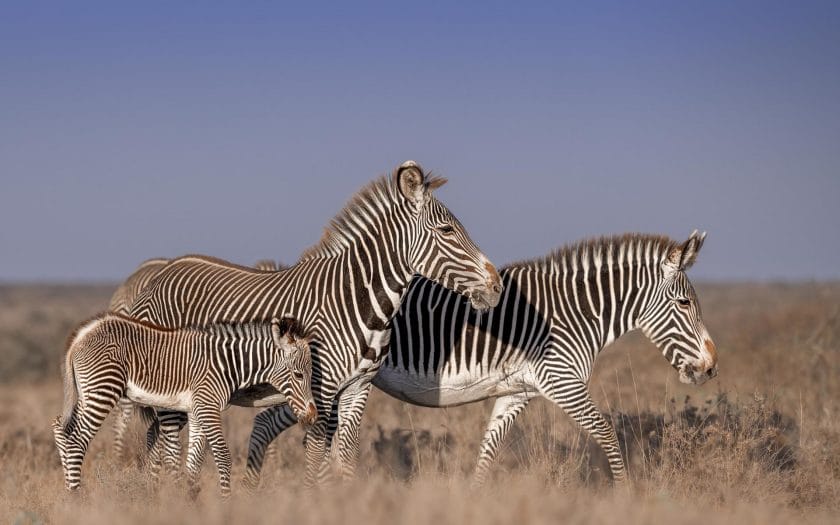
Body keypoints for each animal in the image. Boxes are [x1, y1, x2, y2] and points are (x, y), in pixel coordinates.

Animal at [51, 314, 316, 498]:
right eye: (299, 375)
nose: (312, 416)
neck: (229, 363)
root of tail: (83, 333)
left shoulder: (197, 410)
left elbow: (193, 461)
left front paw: (189, 502)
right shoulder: (208, 406)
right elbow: (222, 455)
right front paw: (226, 502)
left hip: (86, 392)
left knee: (60, 427)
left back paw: (67, 488)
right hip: (102, 390)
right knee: (76, 440)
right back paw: (76, 497)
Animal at [124, 162, 502, 486]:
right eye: (447, 231)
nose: (497, 286)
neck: (359, 303)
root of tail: (157, 280)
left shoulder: (358, 387)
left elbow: (345, 457)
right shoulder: (319, 385)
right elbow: (316, 455)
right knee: (167, 447)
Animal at [241, 231, 716, 486]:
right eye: (685, 303)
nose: (711, 369)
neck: (574, 312)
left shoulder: (518, 392)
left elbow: (489, 450)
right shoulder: (561, 381)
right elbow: (606, 432)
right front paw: (626, 492)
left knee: (267, 424)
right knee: (266, 423)